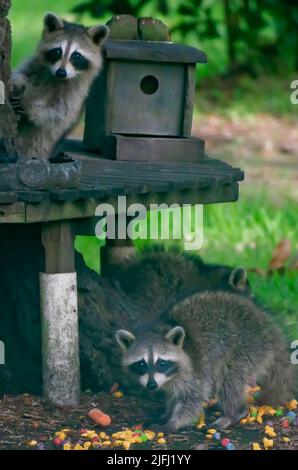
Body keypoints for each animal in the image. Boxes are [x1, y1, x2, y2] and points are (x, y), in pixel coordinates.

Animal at [116, 292, 294, 432]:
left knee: (229, 379)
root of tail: (268, 327)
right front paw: (168, 412)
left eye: (162, 363)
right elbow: (173, 395)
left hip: (246, 348)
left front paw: (174, 422)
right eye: (141, 364)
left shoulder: (196, 367)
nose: (151, 385)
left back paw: (234, 412)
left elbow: (193, 398)